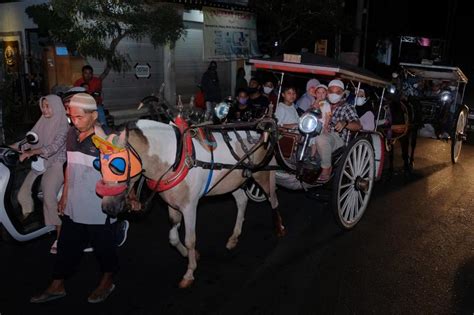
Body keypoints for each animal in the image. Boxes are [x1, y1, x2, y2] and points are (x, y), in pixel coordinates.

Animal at [94, 118, 284, 288]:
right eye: (98, 166)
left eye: (118, 166)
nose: (107, 207)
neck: (174, 159)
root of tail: (261, 131)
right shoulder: (172, 205)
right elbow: (173, 238)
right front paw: (190, 255)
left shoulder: (190, 207)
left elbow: (190, 239)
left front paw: (189, 273)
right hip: (231, 181)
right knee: (242, 201)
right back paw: (234, 237)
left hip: (262, 173)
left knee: (273, 199)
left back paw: (279, 228)